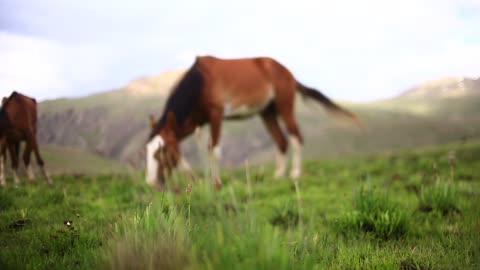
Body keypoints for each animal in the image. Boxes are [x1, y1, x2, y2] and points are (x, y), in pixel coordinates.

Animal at [146, 55, 360, 189]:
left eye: (161, 152)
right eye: (147, 152)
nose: (151, 182)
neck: (200, 83)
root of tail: (287, 73)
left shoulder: (216, 115)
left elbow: (213, 150)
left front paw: (216, 182)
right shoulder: (197, 122)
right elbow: (195, 152)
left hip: (284, 107)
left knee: (295, 137)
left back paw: (295, 174)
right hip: (267, 112)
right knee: (281, 141)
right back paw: (278, 175)